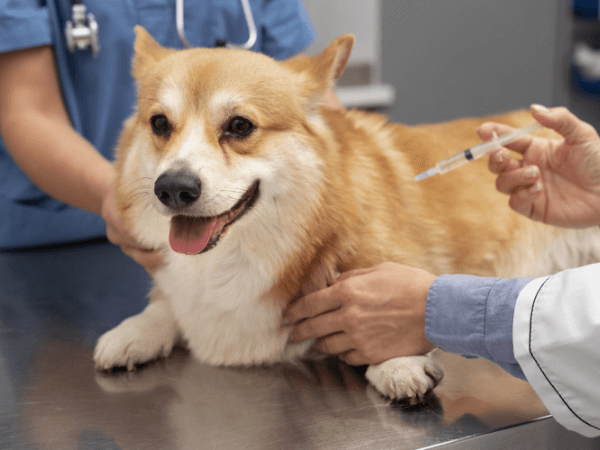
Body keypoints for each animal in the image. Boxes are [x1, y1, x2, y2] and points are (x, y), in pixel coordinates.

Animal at [95, 26, 600, 402]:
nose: (173, 189)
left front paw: (397, 363)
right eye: (160, 124)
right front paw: (133, 331)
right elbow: (165, 305)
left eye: (239, 126)